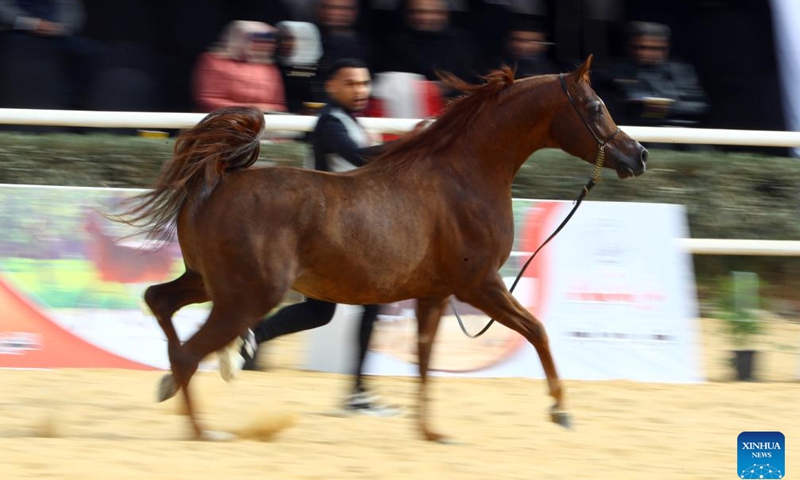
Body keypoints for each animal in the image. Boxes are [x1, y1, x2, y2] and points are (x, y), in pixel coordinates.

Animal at [121, 55, 647, 442]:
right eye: (595, 106)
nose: (638, 155)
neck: (465, 177)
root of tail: (216, 181)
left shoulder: (435, 294)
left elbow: (425, 362)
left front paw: (431, 433)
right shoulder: (480, 285)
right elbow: (537, 330)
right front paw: (561, 411)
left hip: (209, 283)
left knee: (159, 302)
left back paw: (177, 386)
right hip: (246, 295)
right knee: (190, 351)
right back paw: (204, 429)